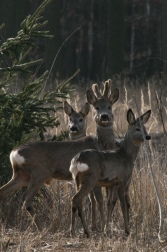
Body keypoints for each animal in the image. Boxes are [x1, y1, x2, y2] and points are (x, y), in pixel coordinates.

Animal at [0, 79, 118, 231]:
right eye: (97, 107)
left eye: (109, 107)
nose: (104, 116)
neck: (101, 144)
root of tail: (14, 153)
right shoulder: (93, 173)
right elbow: (99, 200)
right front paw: (102, 227)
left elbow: (96, 200)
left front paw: (95, 226)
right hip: (40, 172)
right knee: (26, 198)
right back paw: (42, 229)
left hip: (21, 175)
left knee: (3, 192)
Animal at [69, 109, 151, 238]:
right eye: (137, 129)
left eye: (145, 127)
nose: (148, 136)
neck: (126, 156)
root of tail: (76, 160)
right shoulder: (122, 181)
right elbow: (123, 205)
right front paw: (127, 230)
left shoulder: (111, 184)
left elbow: (109, 204)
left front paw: (106, 229)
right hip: (90, 180)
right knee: (75, 199)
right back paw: (73, 232)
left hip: (77, 180)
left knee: (80, 202)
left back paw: (86, 231)